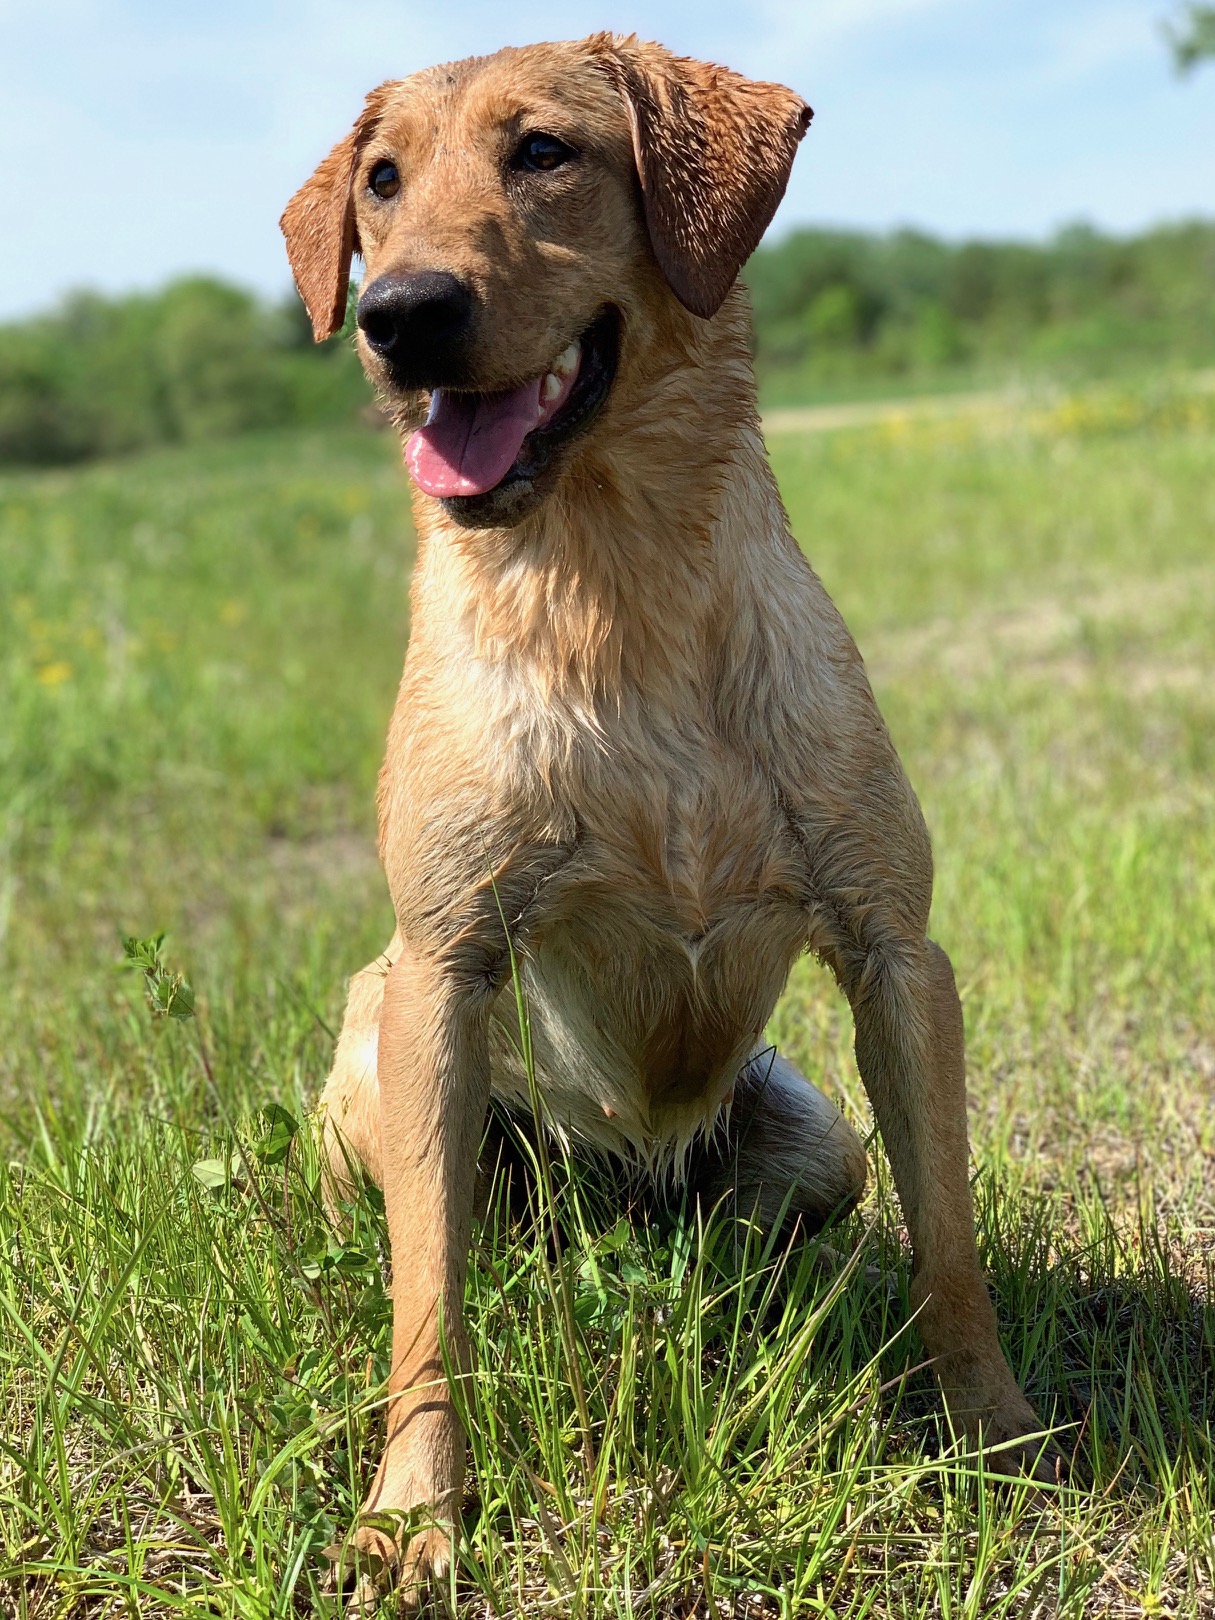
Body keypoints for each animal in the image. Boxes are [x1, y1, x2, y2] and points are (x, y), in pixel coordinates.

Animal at [280, 34, 1062, 1594]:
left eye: (543, 151)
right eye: (381, 182)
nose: (398, 318)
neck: (615, 586)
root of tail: (617, 1188)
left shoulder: (897, 952)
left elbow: (948, 1245)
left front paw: (990, 1432)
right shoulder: (443, 964)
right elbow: (425, 1303)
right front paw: (414, 1514)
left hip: (808, 1140)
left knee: (764, 1233)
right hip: (372, 1045)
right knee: (416, 1234)